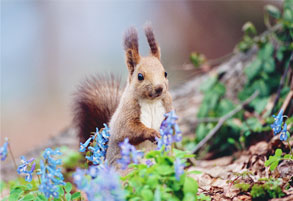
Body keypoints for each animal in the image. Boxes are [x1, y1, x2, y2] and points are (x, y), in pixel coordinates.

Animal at [73, 24, 172, 166]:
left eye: (165, 73)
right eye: (140, 76)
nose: (159, 88)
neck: (151, 101)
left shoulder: (168, 106)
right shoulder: (127, 113)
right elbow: (127, 130)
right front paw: (152, 133)